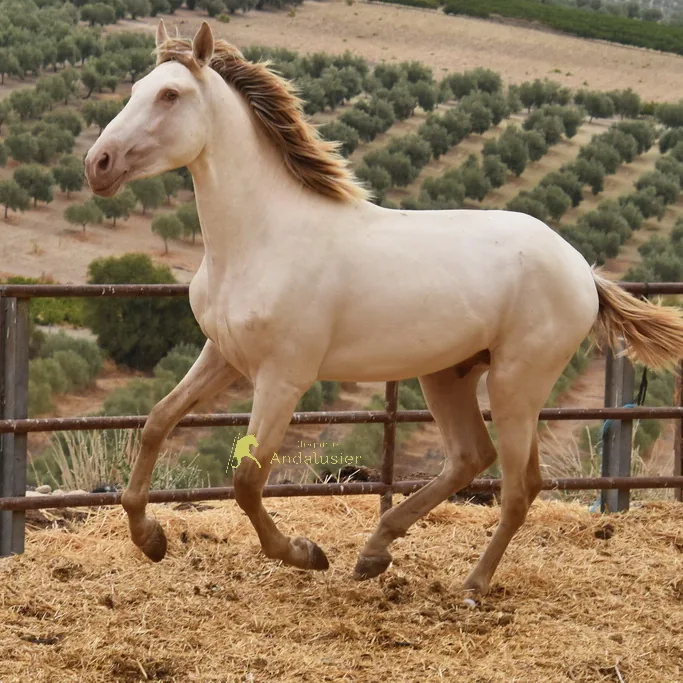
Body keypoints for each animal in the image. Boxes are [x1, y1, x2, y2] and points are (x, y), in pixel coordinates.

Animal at [84, 20, 683, 600]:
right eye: (135, 88)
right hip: (448, 375)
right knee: (471, 457)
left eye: (170, 94)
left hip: (518, 383)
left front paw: (305, 554)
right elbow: (157, 422)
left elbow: (247, 482)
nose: (98, 164)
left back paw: (471, 585)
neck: (261, 238)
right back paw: (375, 552)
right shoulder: (223, 355)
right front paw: (151, 539)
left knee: (519, 486)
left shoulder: (283, 377)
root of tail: (583, 270)